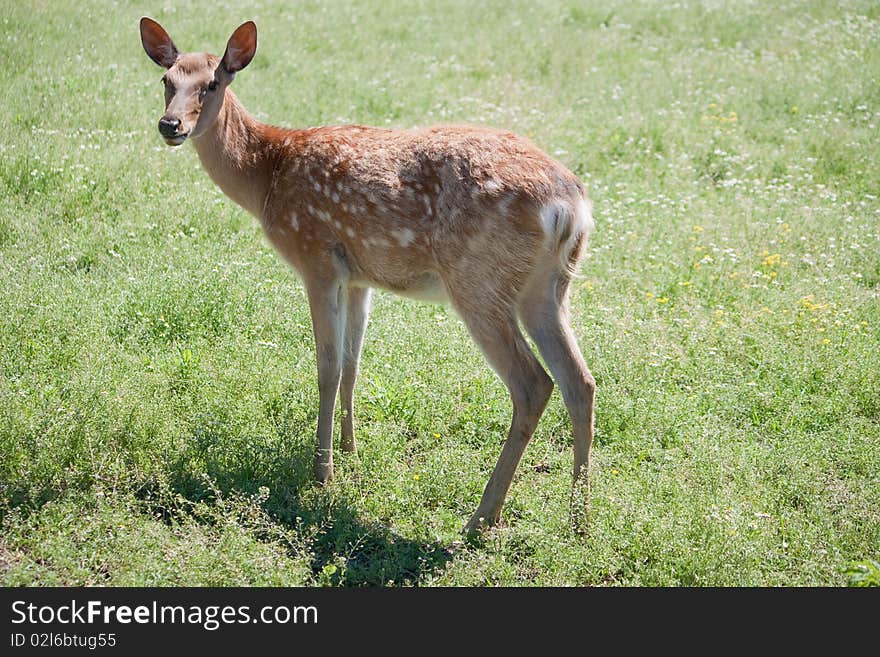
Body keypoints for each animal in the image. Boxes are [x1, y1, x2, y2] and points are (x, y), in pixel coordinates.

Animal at [139, 18, 600, 532]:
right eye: (167, 80)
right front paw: (350, 451)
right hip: (548, 288)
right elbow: (352, 365)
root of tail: (571, 205)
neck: (267, 177)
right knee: (580, 380)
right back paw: (578, 516)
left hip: (479, 281)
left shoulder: (317, 258)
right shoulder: (360, 278)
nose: (170, 125)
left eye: (212, 83)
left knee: (534, 383)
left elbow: (326, 367)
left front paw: (321, 472)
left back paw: (480, 518)